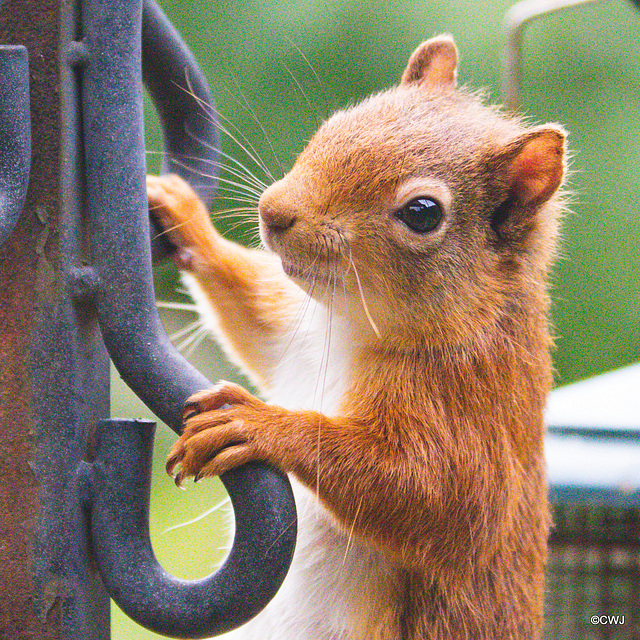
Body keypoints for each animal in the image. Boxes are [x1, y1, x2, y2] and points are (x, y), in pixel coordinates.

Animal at [149, 36, 564, 640]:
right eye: (336, 123)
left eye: (423, 213)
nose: (274, 212)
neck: (346, 326)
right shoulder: (294, 334)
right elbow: (254, 318)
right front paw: (181, 213)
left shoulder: (468, 401)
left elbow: (430, 492)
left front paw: (257, 423)